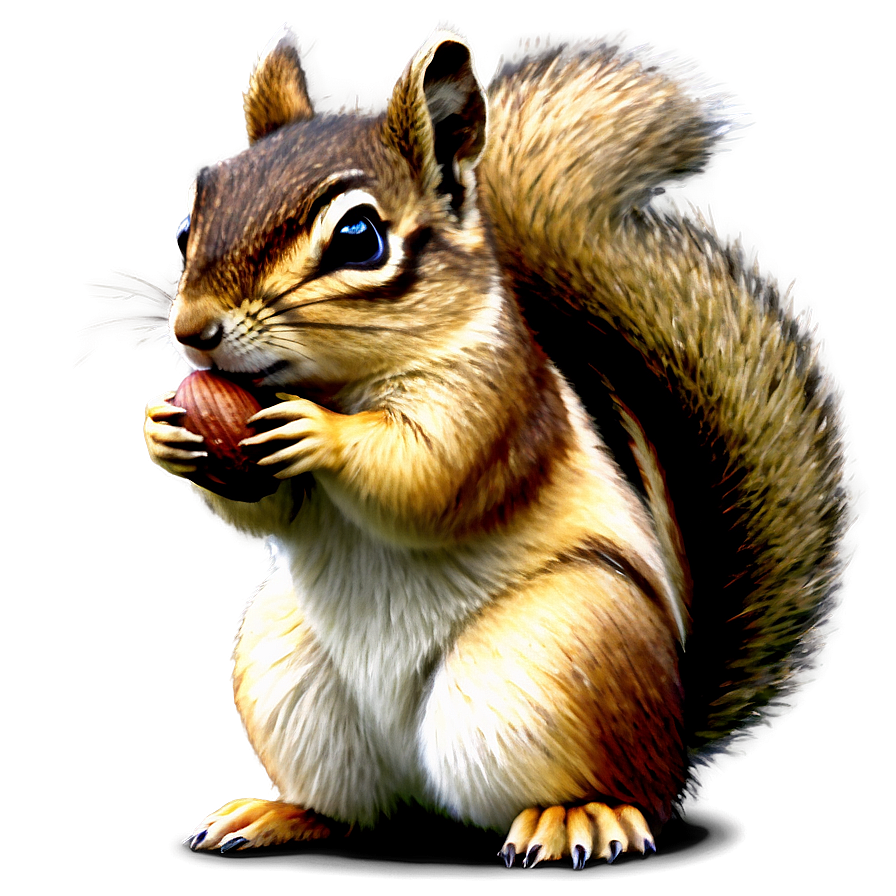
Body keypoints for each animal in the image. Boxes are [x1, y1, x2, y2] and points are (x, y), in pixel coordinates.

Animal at [144, 25, 853, 867]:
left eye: (359, 238)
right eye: (187, 229)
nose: (193, 331)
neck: (336, 383)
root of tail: (678, 726)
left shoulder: (500, 403)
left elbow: (432, 476)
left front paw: (324, 435)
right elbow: (267, 509)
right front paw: (166, 433)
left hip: (557, 655)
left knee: (625, 791)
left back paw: (580, 816)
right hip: (284, 672)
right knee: (364, 812)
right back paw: (282, 815)